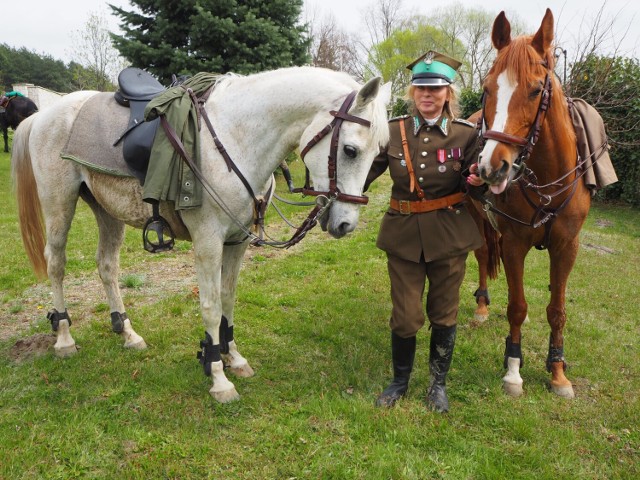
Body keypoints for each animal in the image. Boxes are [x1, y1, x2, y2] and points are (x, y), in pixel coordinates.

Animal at [10, 66, 390, 402]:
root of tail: (46, 114)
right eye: (350, 150)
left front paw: (231, 356)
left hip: (107, 210)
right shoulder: (208, 242)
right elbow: (210, 304)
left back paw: (128, 333)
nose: (346, 224)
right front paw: (218, 376)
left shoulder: (237, 242)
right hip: (60, 203)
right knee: (56, 263)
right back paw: (63, 337)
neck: (236, 136)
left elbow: (228, 299)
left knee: (106, 266)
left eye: (378, 154)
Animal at [468, 9, 592, 400]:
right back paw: (481, 306)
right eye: (486, 89)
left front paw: (558, 371)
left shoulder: (567, 247)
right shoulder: (514, 244)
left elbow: (557, 310)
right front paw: (513, 370)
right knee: (481, 255)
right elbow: (518, 307)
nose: (492, 166)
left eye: (537, 89)